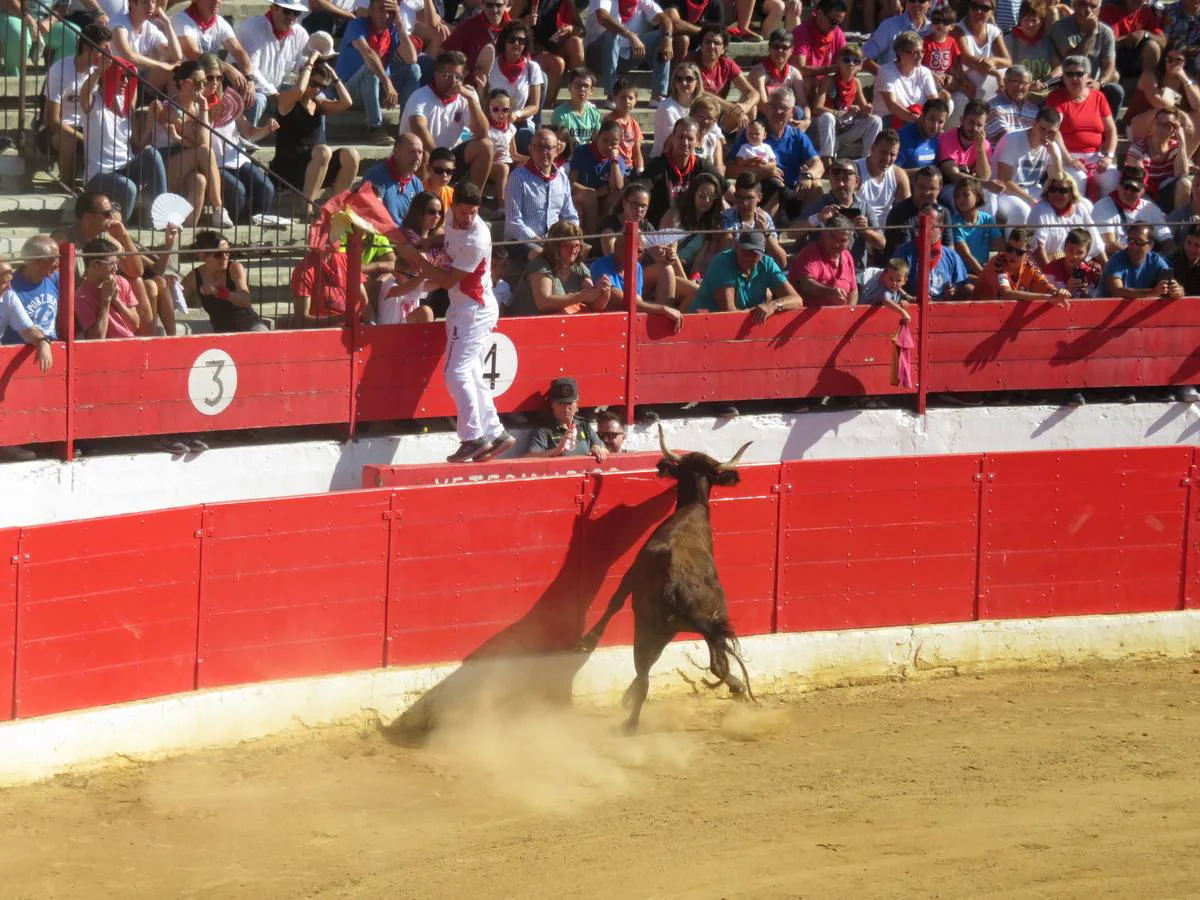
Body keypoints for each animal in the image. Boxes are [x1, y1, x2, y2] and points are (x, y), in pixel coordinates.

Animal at [576, 429, 753, 734]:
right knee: (715, 665)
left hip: (655, 626)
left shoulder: (633, 575)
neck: (691, 510)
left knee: (646, 669)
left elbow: (614, 602)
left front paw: (590, 639)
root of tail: (674, 583)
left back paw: (631, 720)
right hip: (692, 624)